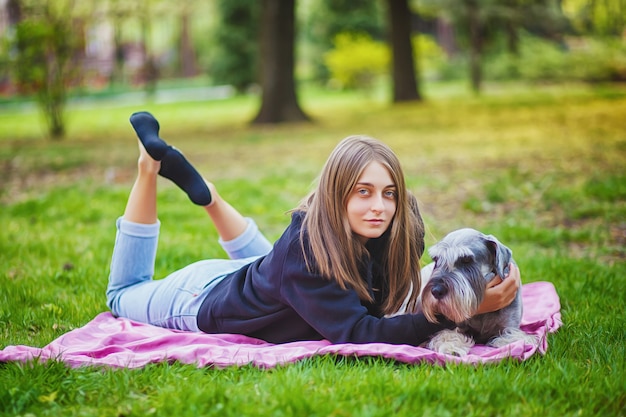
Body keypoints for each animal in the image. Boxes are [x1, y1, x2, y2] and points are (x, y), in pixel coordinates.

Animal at [392, 228, 532, 354]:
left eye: (466, 260)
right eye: (436, 259)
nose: (436, 291)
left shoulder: (509, 327)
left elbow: (513, 338)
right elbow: (448, 335)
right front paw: (450, 347)